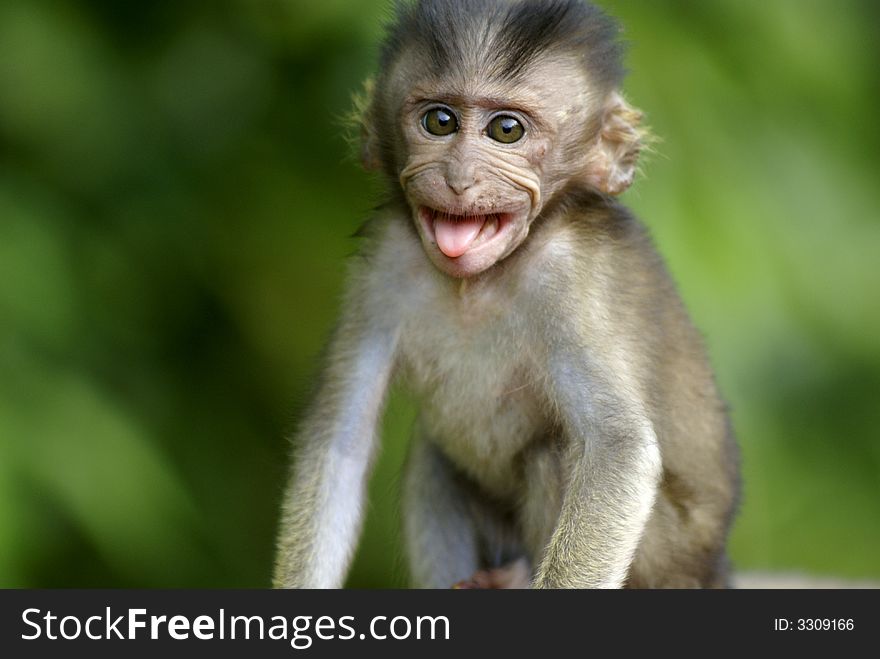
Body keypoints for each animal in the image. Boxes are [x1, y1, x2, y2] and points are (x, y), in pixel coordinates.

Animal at [274, 0, 736, 588]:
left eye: (506, 130)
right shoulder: (384, 260)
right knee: (432, 455)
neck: (478, 283)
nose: (458, 177)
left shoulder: (569, 277)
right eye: (439, 121)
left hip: (664, 560)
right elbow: (341, 440)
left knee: (551, 455)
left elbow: (617, 450)